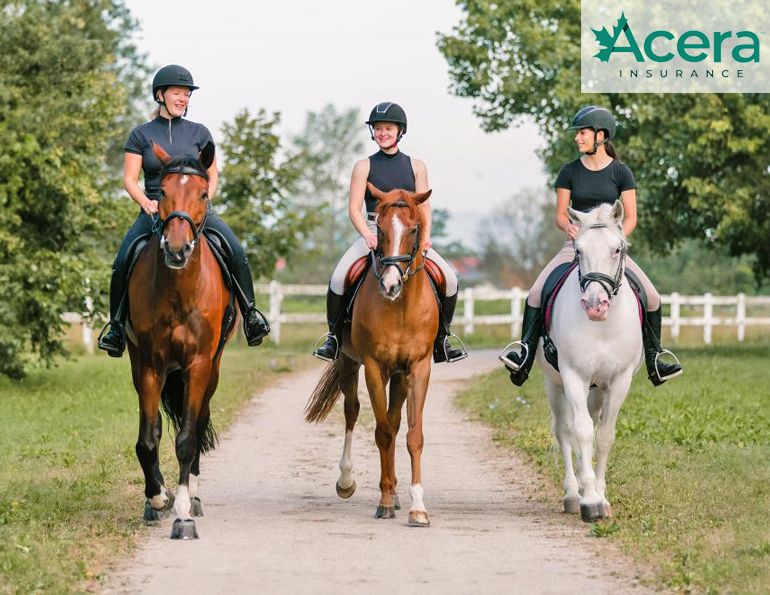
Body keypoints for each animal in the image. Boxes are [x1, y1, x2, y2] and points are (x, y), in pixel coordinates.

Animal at [126, 142, 235, 539]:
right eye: (161, 193)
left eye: (203, 194)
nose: (176, 250)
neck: (177, 290)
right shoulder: (149, 366)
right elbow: (148, 438)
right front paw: (157, 498)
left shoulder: (199, 364)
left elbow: (188, 438)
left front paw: (184, 513)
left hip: (212, 370)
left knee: (199, 423)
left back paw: (196, 496)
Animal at [305, 183, 439, 527]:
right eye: (378, 229)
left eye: (415, 228)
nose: (391, 285)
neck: (400, 307)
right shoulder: (374, 369)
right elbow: (381, 433)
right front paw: (385, 502)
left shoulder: (418, 369)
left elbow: (412, 435)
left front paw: (417, 507)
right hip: (350, 364)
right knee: (352, 411)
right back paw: (347, 482)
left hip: (400, 376)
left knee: (394, 421)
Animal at [536, 201, 643, 522]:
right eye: (578, 250)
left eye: (617, 249)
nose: (596, 306)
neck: (602, 327)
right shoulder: (573, 375)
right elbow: (580, 431)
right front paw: (590, 502)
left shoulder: (620, 380)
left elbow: (604, 435)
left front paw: (601, 496)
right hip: (555, 384)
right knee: (564, 429)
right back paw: (574, 494)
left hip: (597, 389)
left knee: (593, 425)